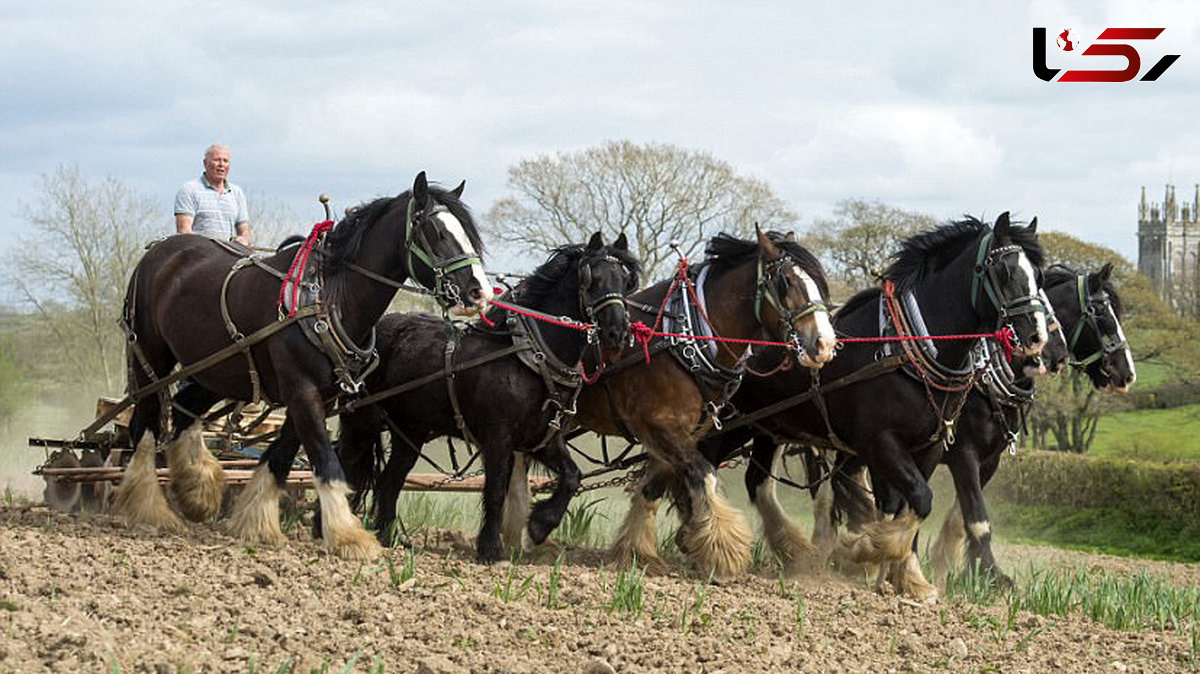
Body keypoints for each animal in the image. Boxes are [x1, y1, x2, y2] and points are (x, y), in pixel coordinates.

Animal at [111, 171, 487, 556]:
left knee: (184, 411)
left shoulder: (319, 395)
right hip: (150, 357)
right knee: (145, 424)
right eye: (436, 232)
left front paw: (258, 523)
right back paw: (149, 507)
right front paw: (349, 536)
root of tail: (158, 251)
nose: (479, 292)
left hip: (214, 369)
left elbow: (280, 457)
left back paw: (198, 490)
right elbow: (325, 459)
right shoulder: (302, 390)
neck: (329, 297)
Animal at [333, 233, 643, 558]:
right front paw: (491, 549)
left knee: (389, 480)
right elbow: (494, 491)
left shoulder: (543, 438)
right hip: (361, 420)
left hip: (410, 432)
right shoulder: (498, 438)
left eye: (625, 281)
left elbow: (572, 476)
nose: (618, 333)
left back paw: (388, 536)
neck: (529, 358)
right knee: (344, 465)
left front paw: (539, 525)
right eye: (592, 279)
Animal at [696, 211, 1051, 592]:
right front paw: (868, 550)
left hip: (768, 427)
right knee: (699, 466)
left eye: (1039, 276)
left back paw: (793, 552)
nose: (1037, 337)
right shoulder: (884, 442)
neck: (905, 350)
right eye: (1004, 272)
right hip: (728, 425)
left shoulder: (929, 446)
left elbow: (907, 505)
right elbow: (921, 499)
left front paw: (902, 573)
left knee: (756, 482)